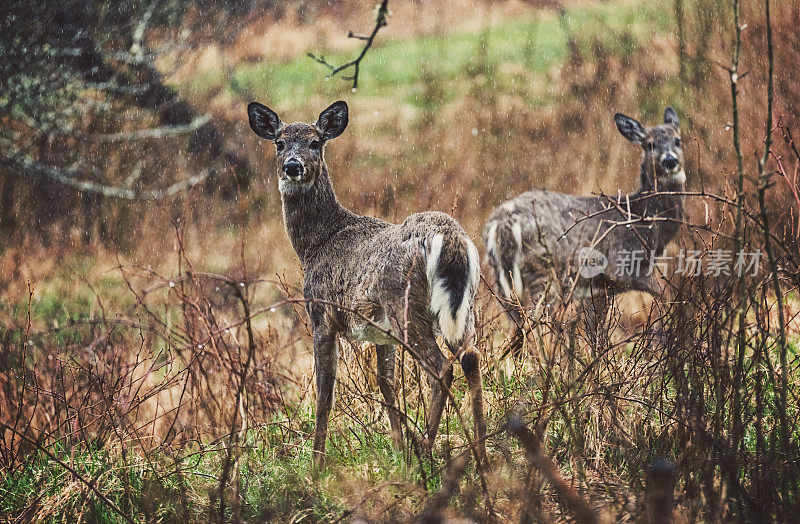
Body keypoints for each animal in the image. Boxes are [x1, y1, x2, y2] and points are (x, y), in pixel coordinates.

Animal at [248, 100, 488, 464]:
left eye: (315, 142)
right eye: (279, 142)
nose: (292, 166)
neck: (316, 244)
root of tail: (448, 237)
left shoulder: (321, 314)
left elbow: (325, 390)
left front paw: (316, 463)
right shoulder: (381, 333)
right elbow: (385, 383)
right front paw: (398, 449)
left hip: (405, 304)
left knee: (440, 367)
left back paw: (426, 448)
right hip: (464, 304)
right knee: (471, 357)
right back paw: (483, 456)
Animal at [484, 106, 684, 350]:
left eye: (678, 140)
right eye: (650, 144)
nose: (670, 161)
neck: (644, 222)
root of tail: (501, 224)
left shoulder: (597, 289)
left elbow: (595, 332)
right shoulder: (623, 271)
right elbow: (667, 296)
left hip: (502, 282)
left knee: (515, 331)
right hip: (543, 270)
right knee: (535, 327)